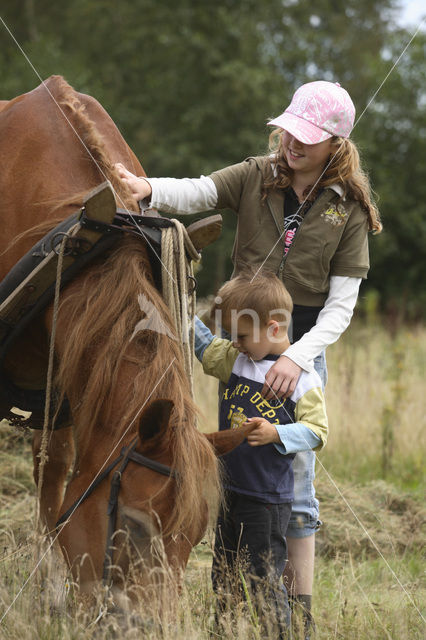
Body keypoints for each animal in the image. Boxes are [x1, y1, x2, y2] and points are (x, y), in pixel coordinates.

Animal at [0, 75, 253, 604]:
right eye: (134, 526)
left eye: (195, 535)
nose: (148, 620)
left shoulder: (68, 381)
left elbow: (54, 470)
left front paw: (50, 587)